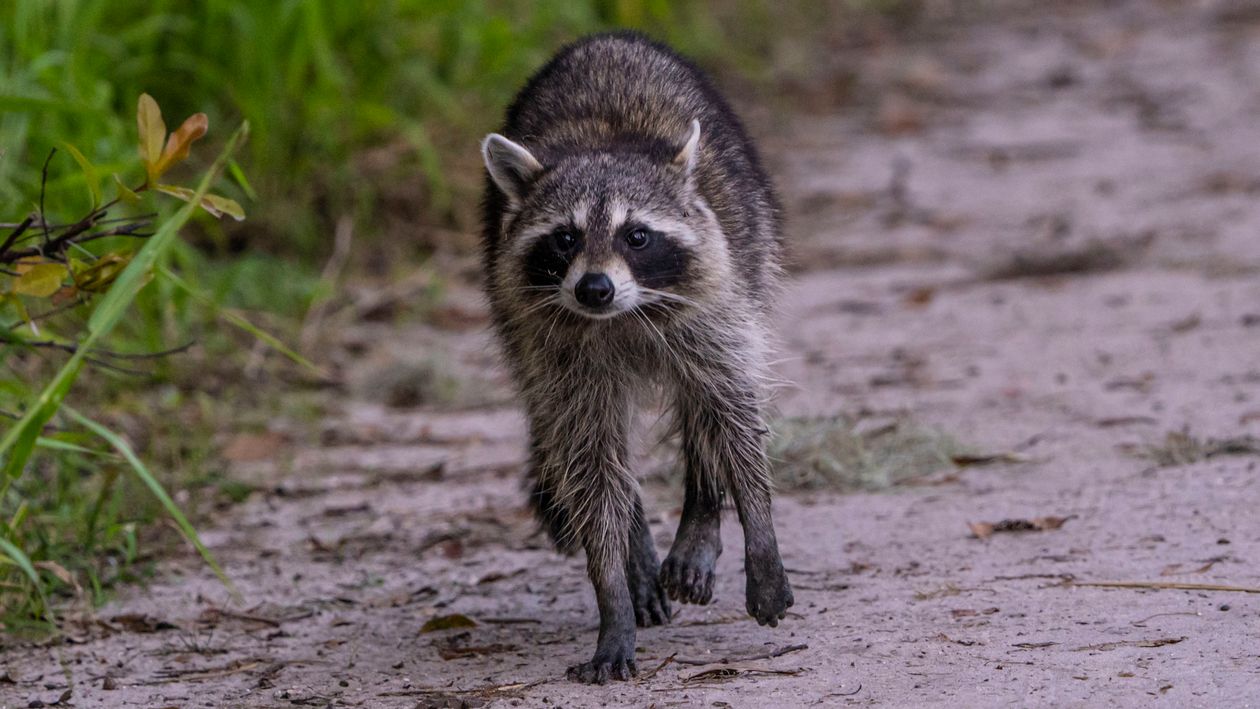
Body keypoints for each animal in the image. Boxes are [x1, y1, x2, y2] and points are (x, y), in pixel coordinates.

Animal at [480, 31, 793, 684]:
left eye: (637, 236)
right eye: (565, 238)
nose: (593, 288)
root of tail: (604, 39)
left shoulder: (714, 303)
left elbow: (734, 415)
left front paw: (758, 526)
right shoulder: (556, 348)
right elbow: (592, 462)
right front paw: (613, 590)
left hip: (747, 245)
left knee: (705, 402)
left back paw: (701, 513)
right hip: (514, 318)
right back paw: (637, 547)